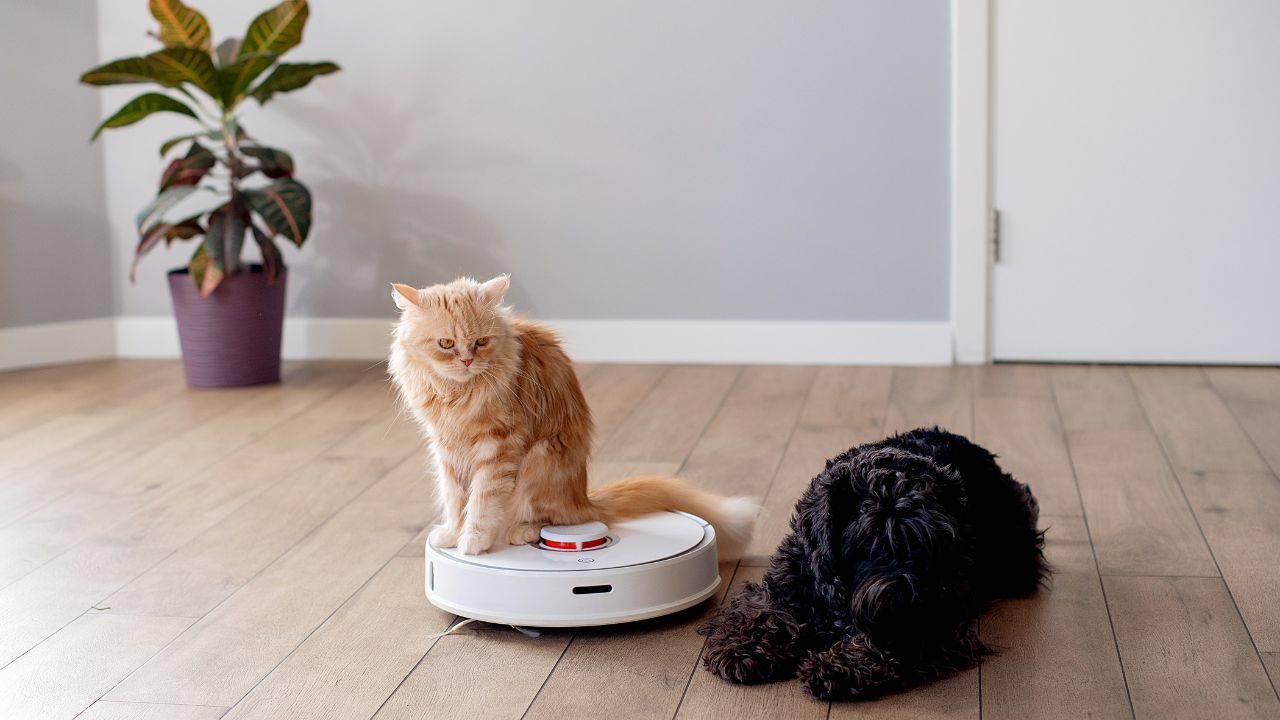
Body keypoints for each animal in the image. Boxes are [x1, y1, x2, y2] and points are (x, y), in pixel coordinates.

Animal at [384, 274, 752, 556]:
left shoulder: (497, 446)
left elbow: (482, 500)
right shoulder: (446, 449)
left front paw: (472, 539)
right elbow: (454, 497)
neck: (455, 395)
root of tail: (583, 497)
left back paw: (521, 530)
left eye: (482, 341)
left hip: (539, 463)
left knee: (556, 521)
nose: (466, 361)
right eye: (446, 344)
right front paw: (452, 532)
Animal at [701, 427, 1049, 696]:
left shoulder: (926, 625)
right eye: (872, 537)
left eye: (941, 538)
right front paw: (743, 649)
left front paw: (838, 667)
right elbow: (763, 613)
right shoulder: (787, 581)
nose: (924, 595)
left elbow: (885, 645)